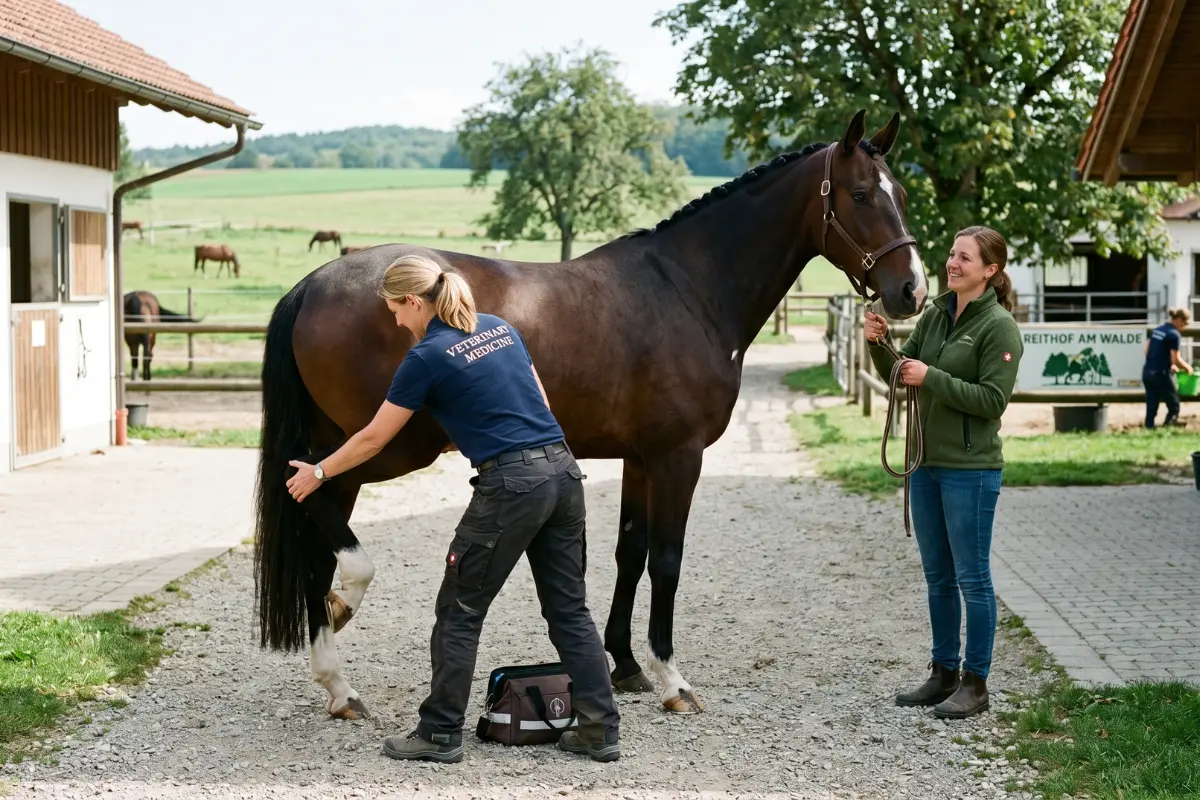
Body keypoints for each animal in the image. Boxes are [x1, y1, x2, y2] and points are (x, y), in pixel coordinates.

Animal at [252, 110, 930, 722]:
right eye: (861, 194)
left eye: (899, 193)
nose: (913, 291)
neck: (689, 290)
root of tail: (313, 283)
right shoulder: (678, 456)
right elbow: (667, 560)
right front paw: (671, 679)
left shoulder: (640, 457)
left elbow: (630, 552)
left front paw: (625, 665)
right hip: (385, 443)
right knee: (306, 493)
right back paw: (344, 619)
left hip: (351, 441)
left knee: (314, 523)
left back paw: (338, 682)